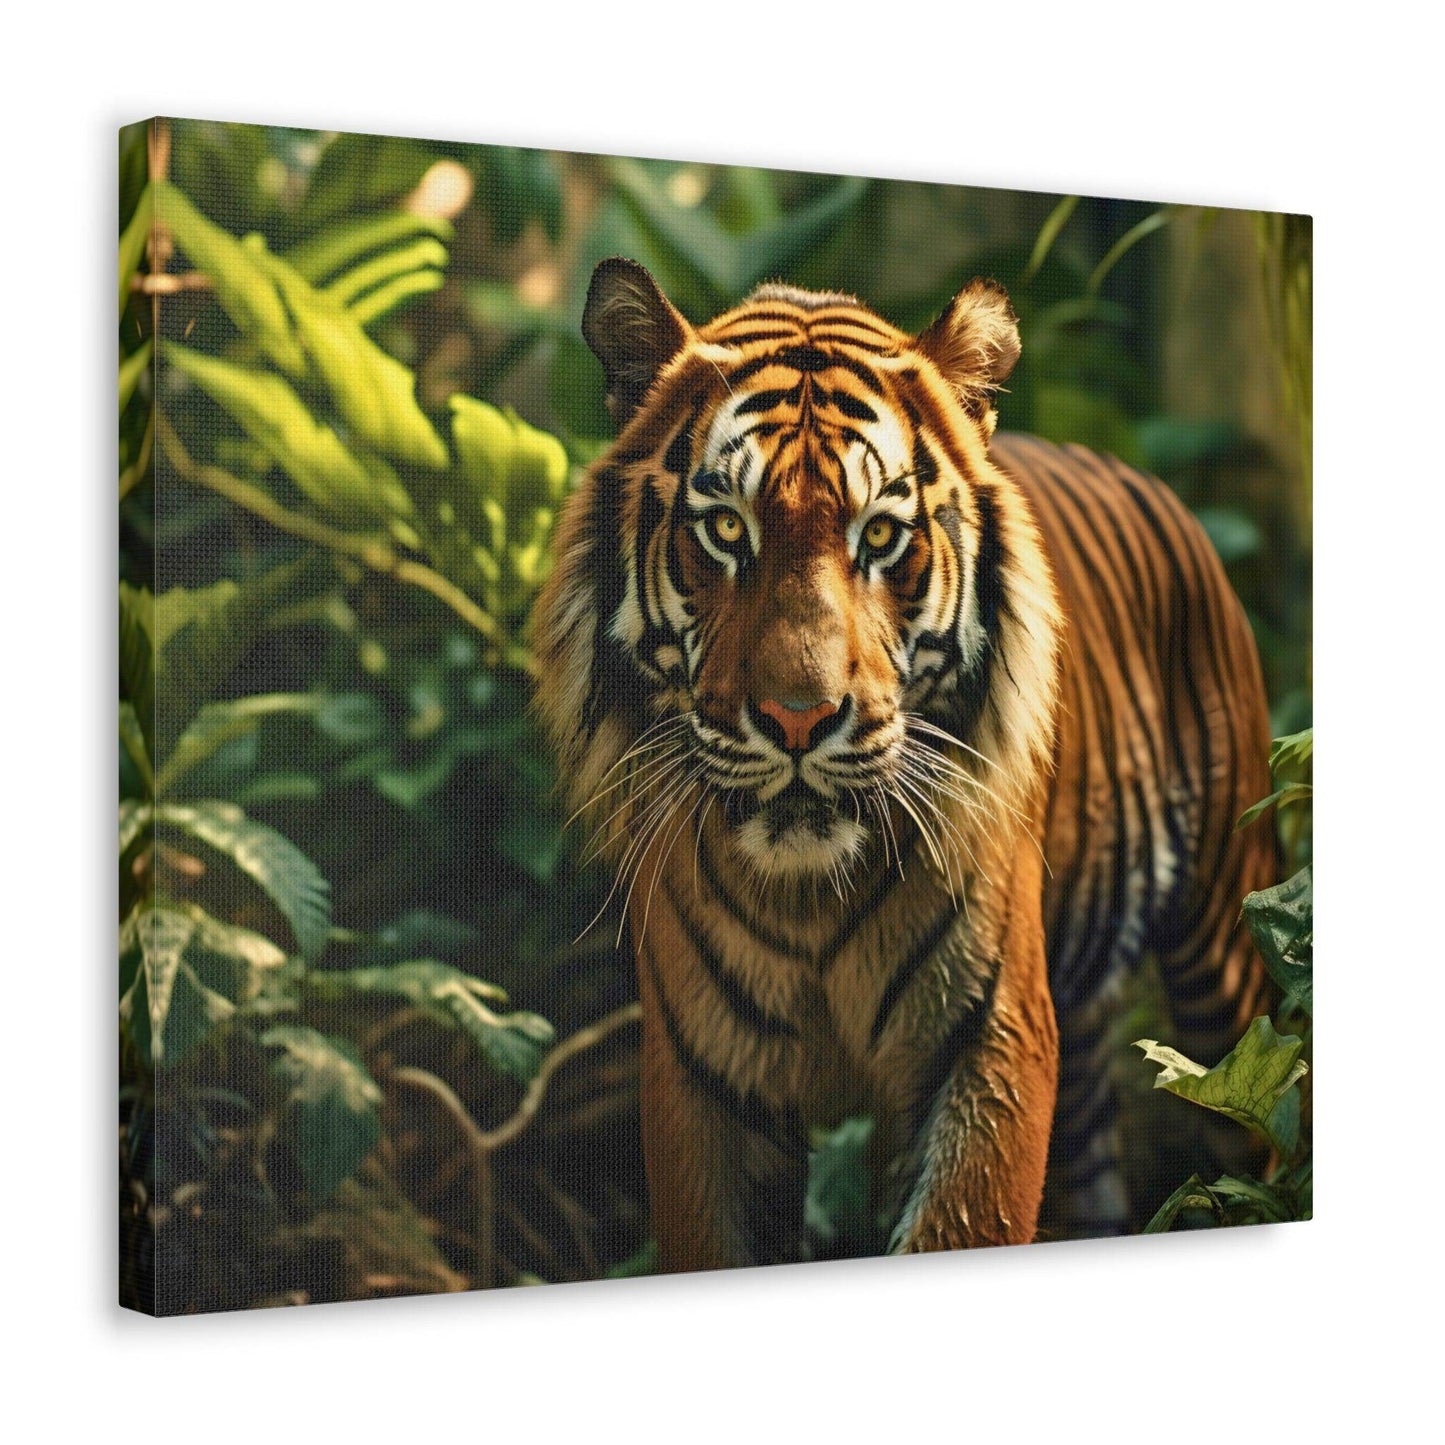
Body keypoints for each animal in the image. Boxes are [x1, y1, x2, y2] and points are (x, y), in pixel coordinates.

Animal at [531, 257, 1277, 1271]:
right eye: (724, 529)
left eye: (879, 537)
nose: (798, 718)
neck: (807, 899)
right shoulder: (702, 1077)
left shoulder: (987, 1043)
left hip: (1227, 952)